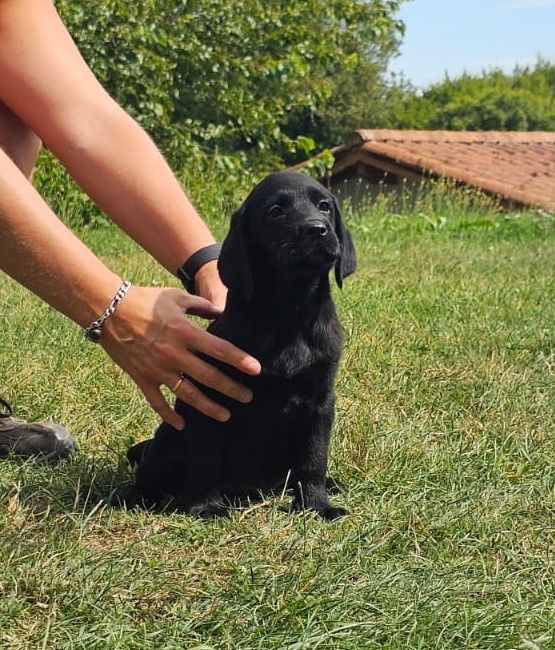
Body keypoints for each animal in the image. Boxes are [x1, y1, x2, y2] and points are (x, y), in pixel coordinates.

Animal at [125, 171, 356, 520]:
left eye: (325, 206)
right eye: (276, 212)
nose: (317, 229)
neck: (288, 313)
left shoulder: (320, 401)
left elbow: (313, 458)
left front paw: (317, 505)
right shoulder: (211, 400)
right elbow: (205, 458)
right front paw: (206, 506)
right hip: (168, 436)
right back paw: (135, 497)